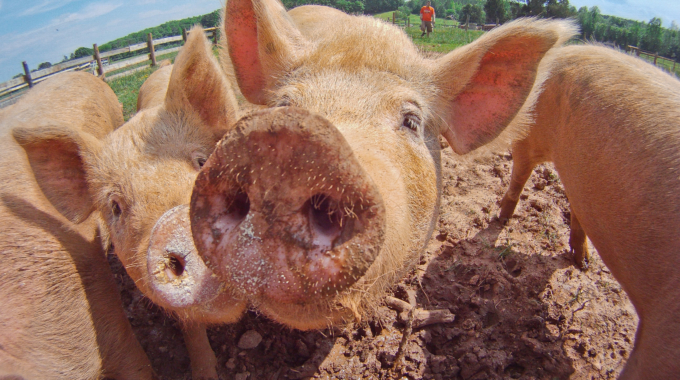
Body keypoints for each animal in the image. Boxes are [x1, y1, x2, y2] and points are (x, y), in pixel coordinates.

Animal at [494, 43, 680, 378]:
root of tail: (569, 47)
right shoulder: (664, 327)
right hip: (533, 125)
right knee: (520, 169)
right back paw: (501, 217)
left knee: (576, 205)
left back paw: (582, 263)